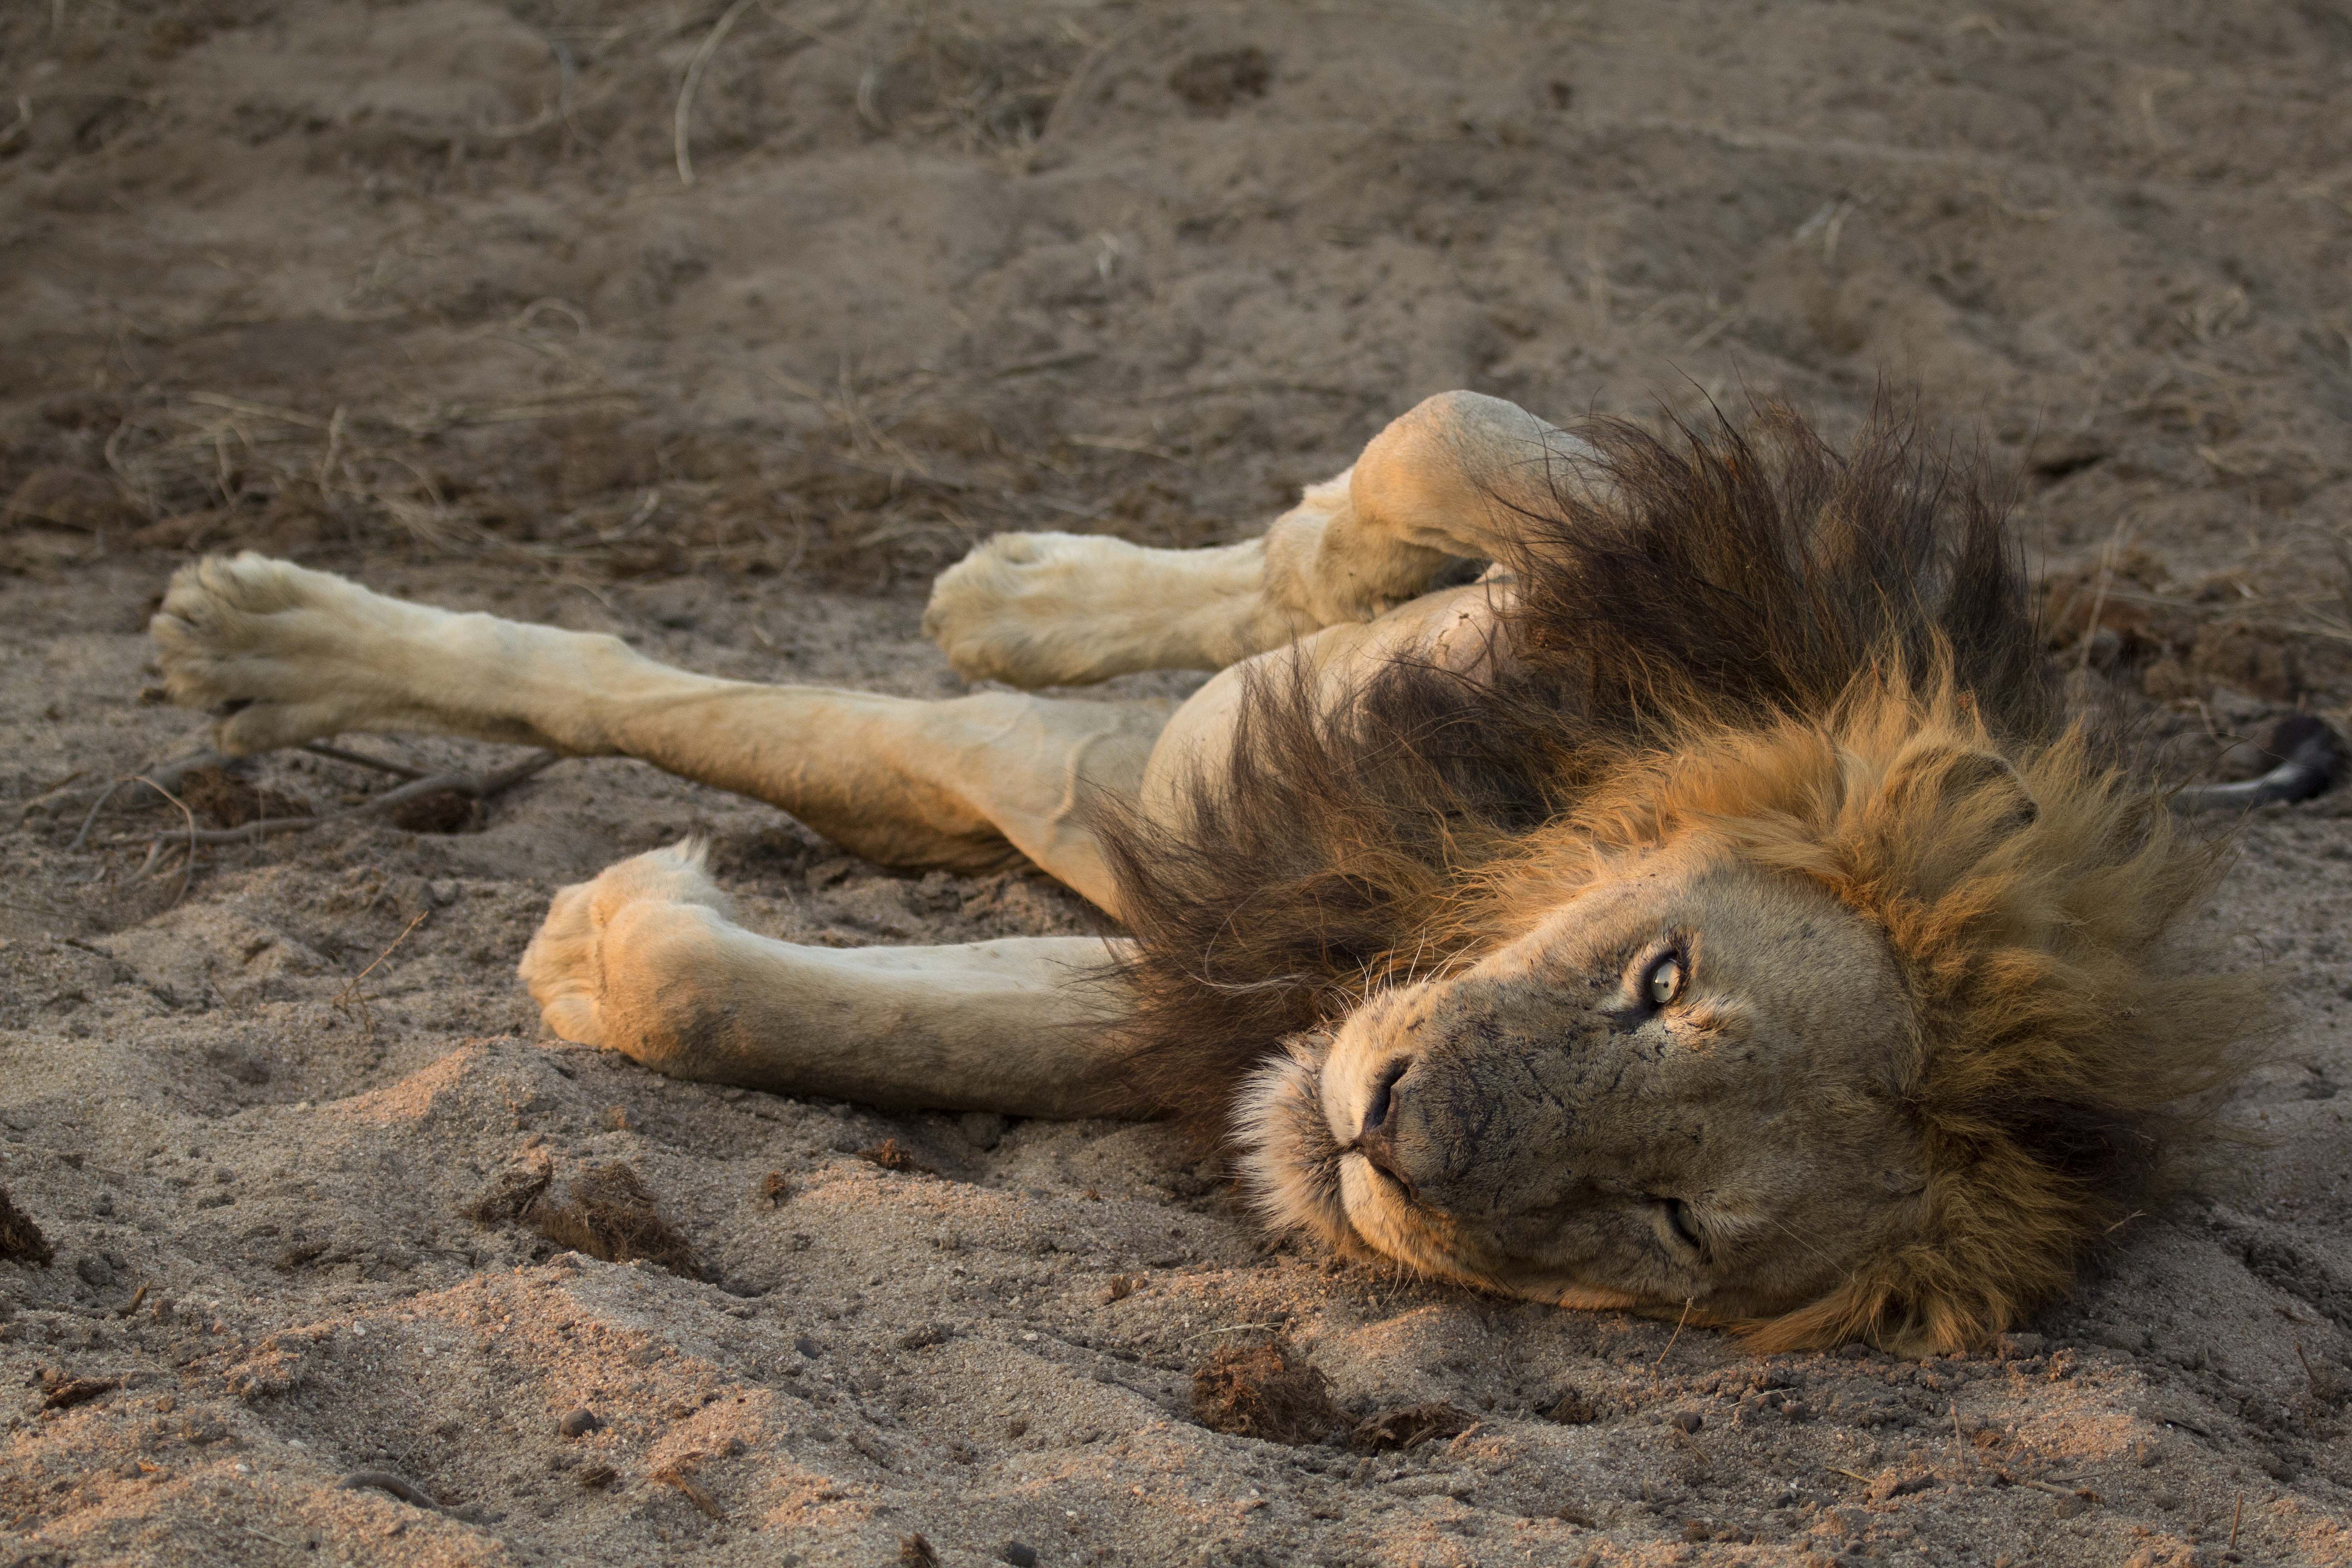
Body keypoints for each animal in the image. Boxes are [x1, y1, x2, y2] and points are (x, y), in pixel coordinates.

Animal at [147, 390, 2259, 1354]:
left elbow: (780, 986)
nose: (1385, 1131)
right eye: (1657, 982)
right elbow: (1435, 454)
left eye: (1669, 1227)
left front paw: (605, 937)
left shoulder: (1182, 956)